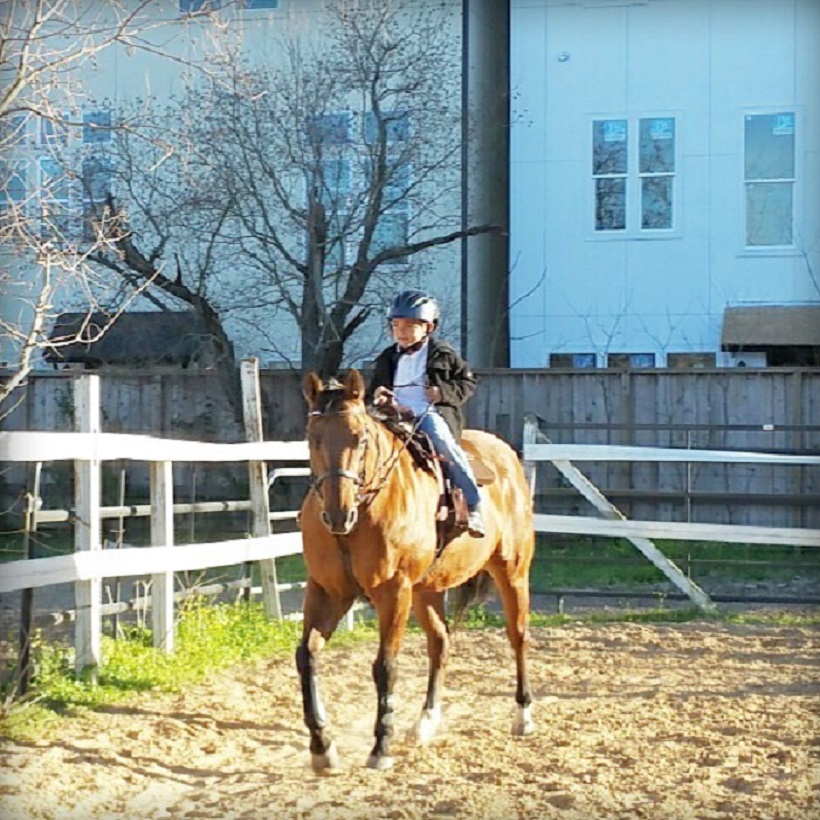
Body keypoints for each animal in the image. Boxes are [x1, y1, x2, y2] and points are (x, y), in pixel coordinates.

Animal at [298, 368, 536, 772]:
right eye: (313, 437)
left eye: (360, 437)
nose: (337, 514)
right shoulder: (327, 590)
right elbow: (306, 655)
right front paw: (322, 746)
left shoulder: (394, 592)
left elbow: (385, 666)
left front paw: (380, 747)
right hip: (427, 590)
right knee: (440, 642)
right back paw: (425, 723)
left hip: (512, 572)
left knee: (517, 636)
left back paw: (523, 716)